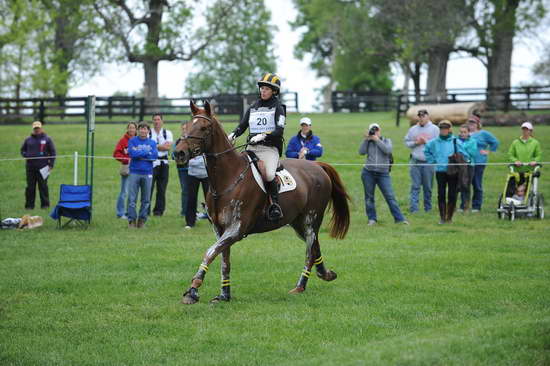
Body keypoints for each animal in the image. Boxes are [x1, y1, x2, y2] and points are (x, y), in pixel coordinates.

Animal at [175, 100, 352, 304]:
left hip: (310, 219)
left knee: (309, 250)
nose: (179, 153)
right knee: (315, 245)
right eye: (186, 126)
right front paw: (224, 294)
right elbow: (224, 260)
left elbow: (210, 252)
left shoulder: (236, 229)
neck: (228, 178)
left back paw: (300, 286)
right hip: (297, 222)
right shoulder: (220, 229)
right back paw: (325, 274)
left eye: (204, 128)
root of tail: (317, 166)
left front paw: (193, 290)